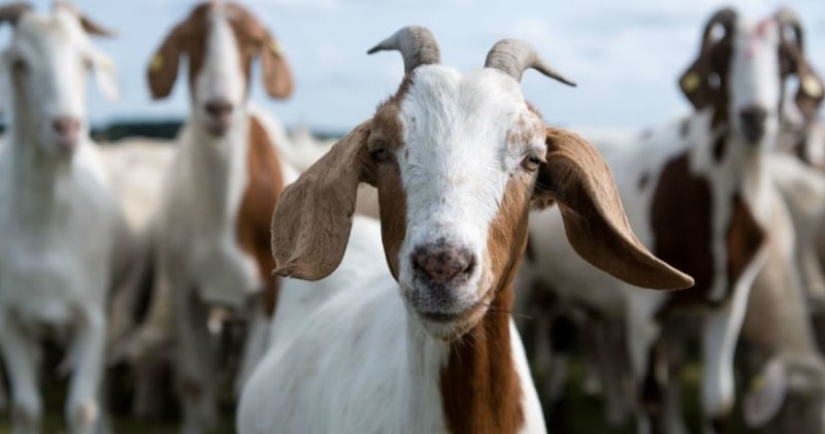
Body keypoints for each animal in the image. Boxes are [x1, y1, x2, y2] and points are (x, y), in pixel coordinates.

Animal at [0, 2, 129, 433]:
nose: (67, 127)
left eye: (86, 61)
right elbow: (26, 407)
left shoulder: (91, 317)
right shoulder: (10, 318)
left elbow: (81, 407)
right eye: (19, 63)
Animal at [517, 8, 817, 434]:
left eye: (785, 61)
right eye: (722, 57)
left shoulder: (727, 305)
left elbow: (718, 402)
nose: (754, 116)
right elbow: (650, 399)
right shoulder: (645, 310)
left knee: (562, 339)